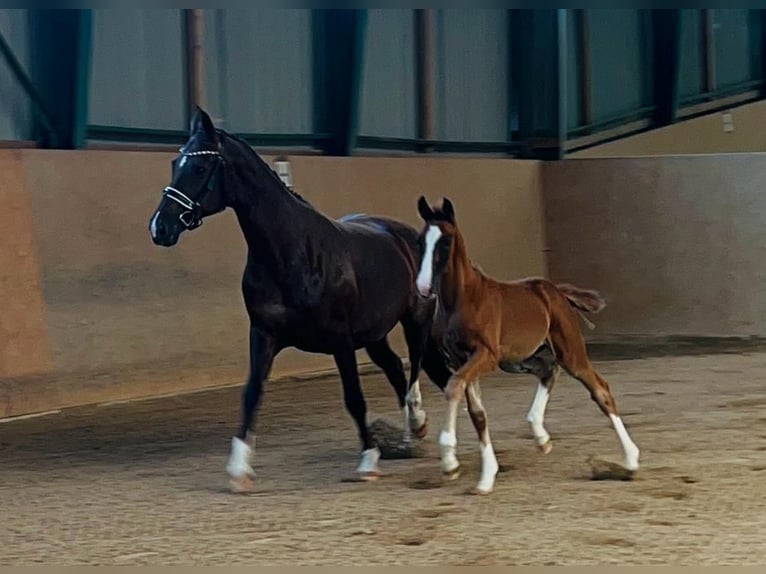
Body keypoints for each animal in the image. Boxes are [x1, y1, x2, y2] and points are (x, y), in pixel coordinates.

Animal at [147, 107, 440, 491]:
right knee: (393, 367)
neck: (292, 253)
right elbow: (251, 394)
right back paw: (410, 434)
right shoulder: (264, 335)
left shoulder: (340, 341)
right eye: (174, 162)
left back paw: (417, 423)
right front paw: (239, 469)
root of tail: (403, 233)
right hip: (373, 334)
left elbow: (354, 397)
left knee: (415, 367)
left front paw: (368, 461)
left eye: (198, 167)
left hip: (415, 320)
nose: (159, 227)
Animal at [413, 196, 640, 495]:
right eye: (420, 241)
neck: (462, 300)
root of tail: (555, 290)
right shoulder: (458, 359)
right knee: (548, 372)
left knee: (599, 389)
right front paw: (485, 477)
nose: (423, 287)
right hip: (519, 360)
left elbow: (454, 387)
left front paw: (450, 462)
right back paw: (541, 437)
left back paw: (631, 460)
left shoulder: (485, 355)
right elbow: (477, 413)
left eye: (446, 241)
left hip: (568, 351)